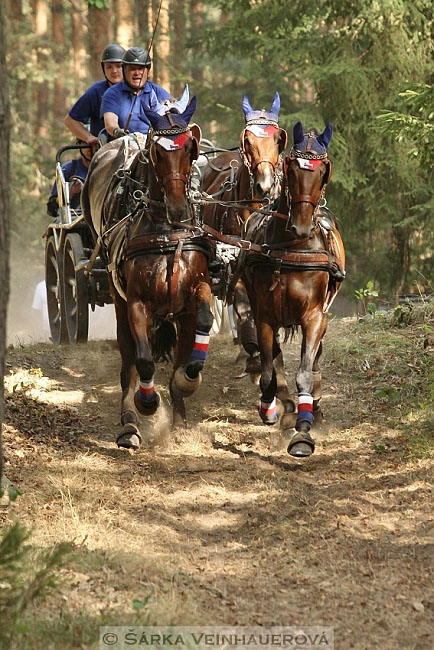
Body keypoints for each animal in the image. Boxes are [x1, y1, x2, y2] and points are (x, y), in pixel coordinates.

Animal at [81, 92, 214, 446]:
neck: (167, 232)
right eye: (157, 150)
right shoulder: (137, 303)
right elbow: (142, 359)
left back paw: (178, 417)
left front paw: (185, 383)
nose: (179, 207)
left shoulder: (193, 297)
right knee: (129, 360)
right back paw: (129, 421)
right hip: (118, 300)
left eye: (190, 147)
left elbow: (201, 327)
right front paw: (148, 403)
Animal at [201, 94, 288, 372]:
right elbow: (242, 302)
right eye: (247, 140)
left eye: (278, 139)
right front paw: (252, 345)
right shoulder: (234, 260)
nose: (265, 185)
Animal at [241, 121, 346, 456]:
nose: (301, 224)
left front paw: (303, 431)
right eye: (291, 167)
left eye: (323, 170)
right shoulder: (265, 316)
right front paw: (270, 408)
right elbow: (267, 372)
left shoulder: (314, 317)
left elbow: (304, 374)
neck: (294, 247)